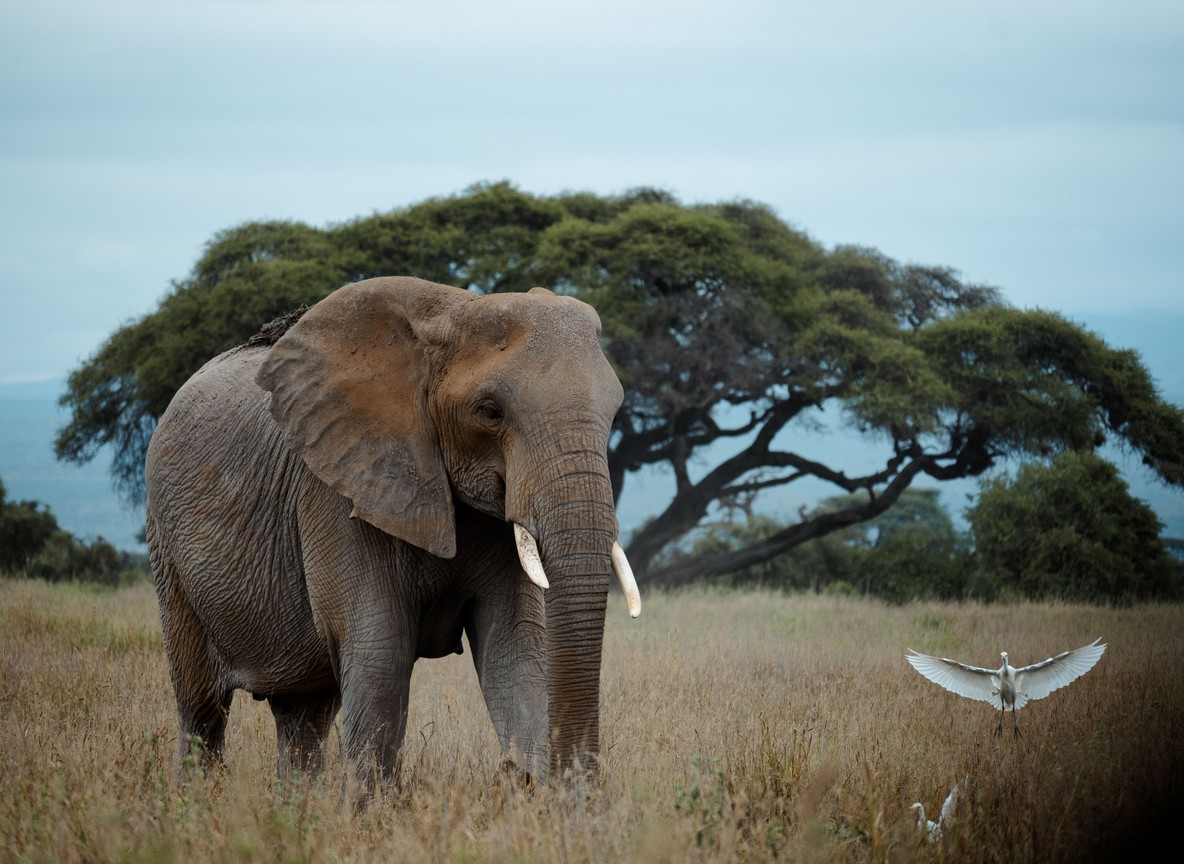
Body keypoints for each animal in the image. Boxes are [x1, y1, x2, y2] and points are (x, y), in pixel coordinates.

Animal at [144, 275, 641, 788]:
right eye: (489, 411)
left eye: (615, 414)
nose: (572, 784)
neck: (449, 314)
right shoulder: (339, 491)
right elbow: (382, 656)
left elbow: (513, 650)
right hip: (166, 548)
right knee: (202, 710)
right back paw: (192, 798)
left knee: (303, 714)